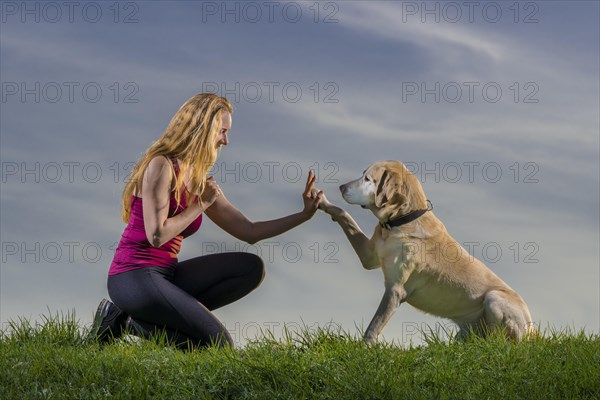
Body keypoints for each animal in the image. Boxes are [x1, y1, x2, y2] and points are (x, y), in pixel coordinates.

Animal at [314, 159, 536, 344]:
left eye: (368, 178)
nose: (341, 187)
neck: (400, 221)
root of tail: (533, 329)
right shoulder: (368, 257)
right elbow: (345, 215)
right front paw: (321, 201)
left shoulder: (395, 290)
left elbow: (373, 326)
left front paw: (364, 348)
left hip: (494, 298)